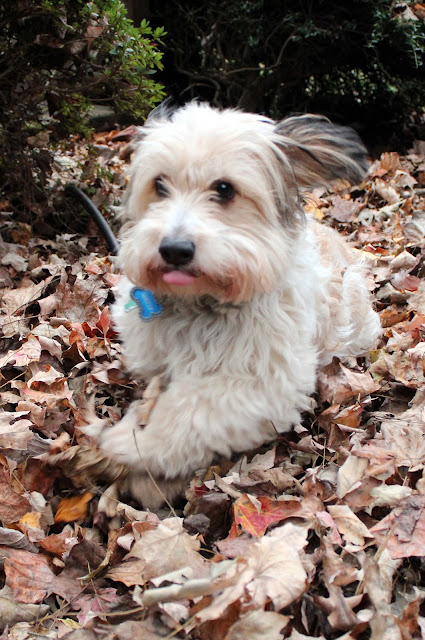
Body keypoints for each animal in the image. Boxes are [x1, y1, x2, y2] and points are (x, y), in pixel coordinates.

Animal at [97, 102, 380, 508]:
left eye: (224, 189)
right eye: (160, 185)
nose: (174, 249)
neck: (201, 305)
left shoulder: (268, 383)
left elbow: (191, 410)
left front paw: (135, 443)